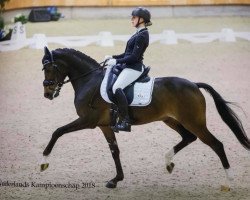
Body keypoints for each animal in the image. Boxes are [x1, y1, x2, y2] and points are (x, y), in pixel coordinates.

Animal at [40, 46, 249, 189]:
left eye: (50, 68)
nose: (47, 94)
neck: (89, 81)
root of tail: (194, 85)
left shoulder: (88, 121)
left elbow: (57, 131)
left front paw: (43, 162)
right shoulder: (105, 126)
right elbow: (115, 151)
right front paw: (116, 180)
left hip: (194, 122)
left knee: (216, 144)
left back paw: (229, 182)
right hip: (171, 120)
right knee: (188, 137)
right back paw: (168, 162)